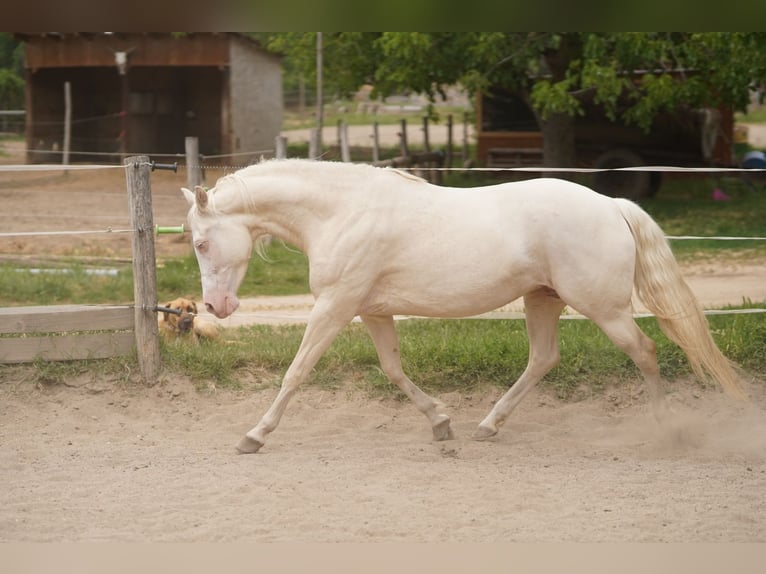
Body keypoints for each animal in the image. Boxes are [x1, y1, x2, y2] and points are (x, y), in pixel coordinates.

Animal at [182, 158, 745, 454]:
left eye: (201, 243)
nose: (214, 306)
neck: (340, 213)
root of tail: (611, 205)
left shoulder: (334, 307)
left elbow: (296, 372)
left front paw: (254, 435)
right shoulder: (371, 311)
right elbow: (392, 369)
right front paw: (440, 422)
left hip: (603, 309)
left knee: (645, 351)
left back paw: (667, 430)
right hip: (542, 301)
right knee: (544, 359)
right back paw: (488, 425)